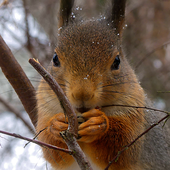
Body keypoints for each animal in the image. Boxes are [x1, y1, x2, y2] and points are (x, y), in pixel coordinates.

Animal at [35, 0, 170, 170]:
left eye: (117, 61)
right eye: (55, 58)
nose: (82, 94)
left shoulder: (136, 116)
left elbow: (124, 146)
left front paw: (99, 124)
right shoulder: (45, 108)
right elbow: (53, 151)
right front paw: (56, 124)